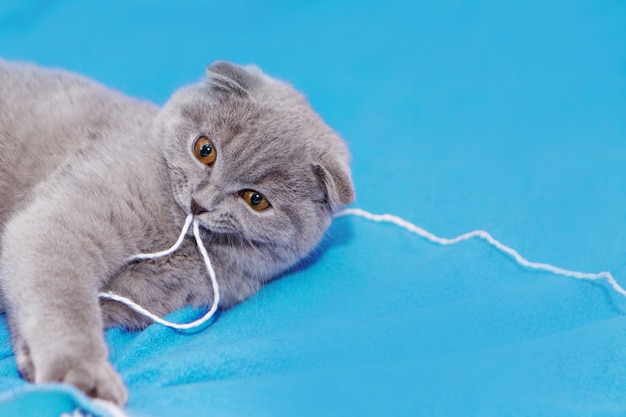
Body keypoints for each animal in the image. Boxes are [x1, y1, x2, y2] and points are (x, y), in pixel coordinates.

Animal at [0, 58, 354, 404]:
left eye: (256, 200)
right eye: (205, 150)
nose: (200, 202)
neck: (175, 236)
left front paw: (30, 358)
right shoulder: (64, 225)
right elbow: (66, 301)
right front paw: (84, 377)